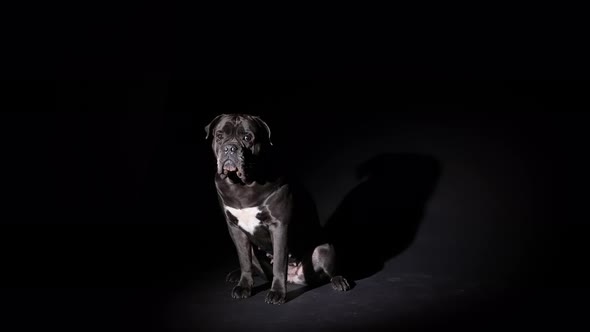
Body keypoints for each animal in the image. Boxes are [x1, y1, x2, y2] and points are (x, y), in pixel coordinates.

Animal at [206, 113, 350, 304]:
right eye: (220, 135)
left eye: (247, 137)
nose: (230, 148)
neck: (243, 184)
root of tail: (294, 277)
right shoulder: (235, 229)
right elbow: (244, 260)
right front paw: (244, 286)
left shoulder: (279, 225)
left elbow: (280, 264)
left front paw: (277, 292)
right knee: (255, 266)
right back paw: (236, 275)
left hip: (324, 249)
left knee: (330, 270)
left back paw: (339, 280)